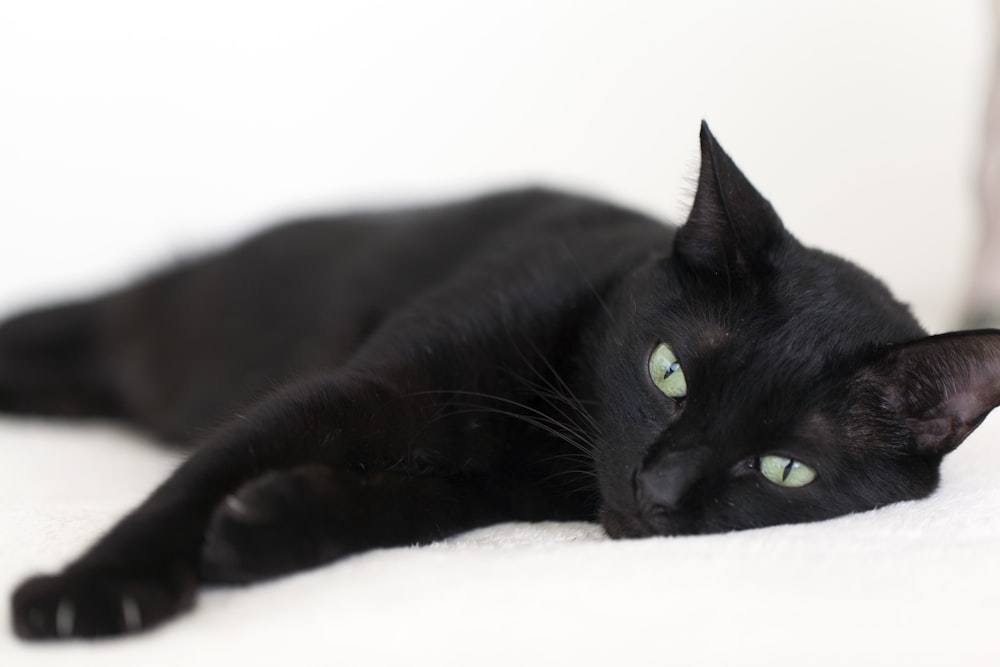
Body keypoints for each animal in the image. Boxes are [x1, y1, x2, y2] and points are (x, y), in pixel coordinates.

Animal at [7, 122, 1000, 640]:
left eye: (785, 468)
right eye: (668, 371)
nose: (659, 486)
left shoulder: (473, 493)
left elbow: (384, 511)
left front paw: (254, 531)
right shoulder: (361, 393)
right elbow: (202, 472)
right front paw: (98, 587)